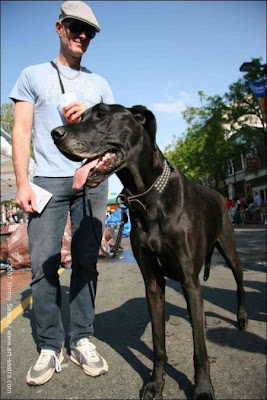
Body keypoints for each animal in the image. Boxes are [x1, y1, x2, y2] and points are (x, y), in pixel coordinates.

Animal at [51, 104, 249, 400]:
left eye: (101, 114)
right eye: (80, 116)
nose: (56, 133)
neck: (148, 197)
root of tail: (218, 193)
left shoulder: (188, 279)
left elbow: (200, 350)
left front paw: (202, 388)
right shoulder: (153, 283)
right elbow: (158, 344)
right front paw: (156, 383)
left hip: (229, 249)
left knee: (239, 282)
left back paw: (242, 317)